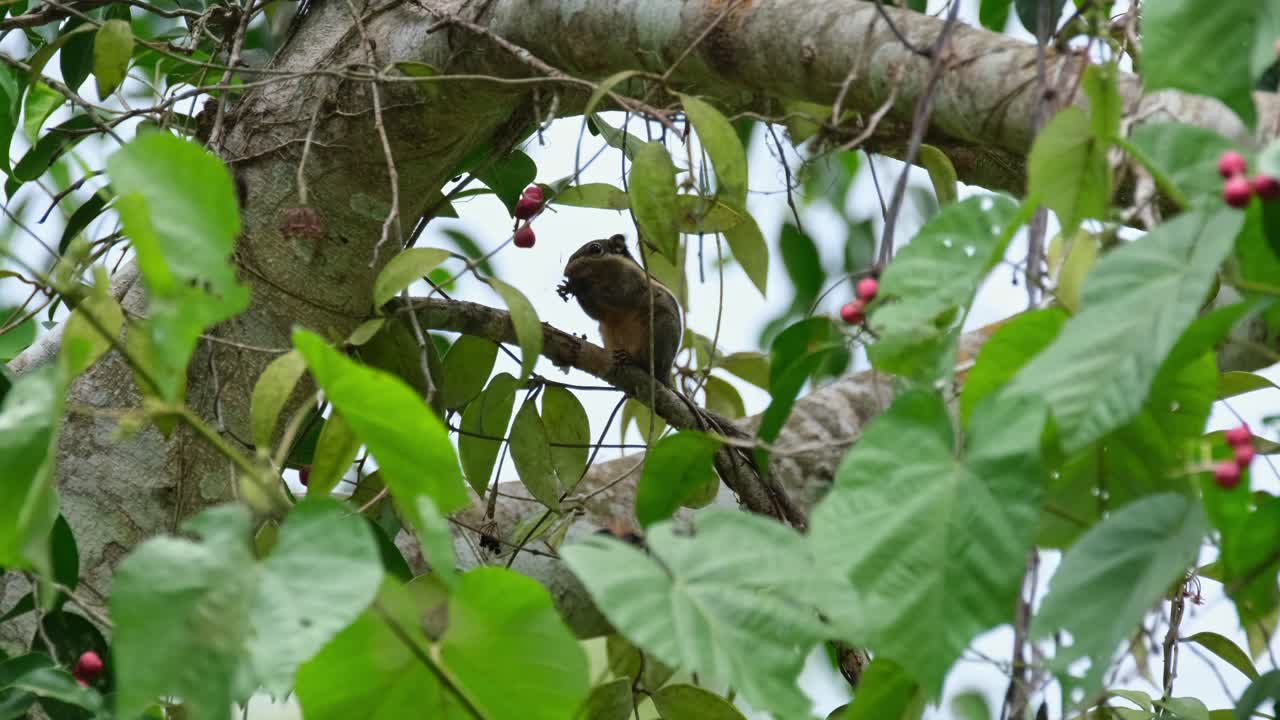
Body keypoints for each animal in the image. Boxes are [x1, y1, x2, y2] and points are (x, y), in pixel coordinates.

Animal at [557, 234, 807, 530]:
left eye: (595, 249)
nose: (566, 271)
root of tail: (666, 375)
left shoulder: (630, 285)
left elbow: (610, 299)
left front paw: (576, 287)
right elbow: (597, 313)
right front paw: (568, 286)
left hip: (659, 328)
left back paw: (634, 361)